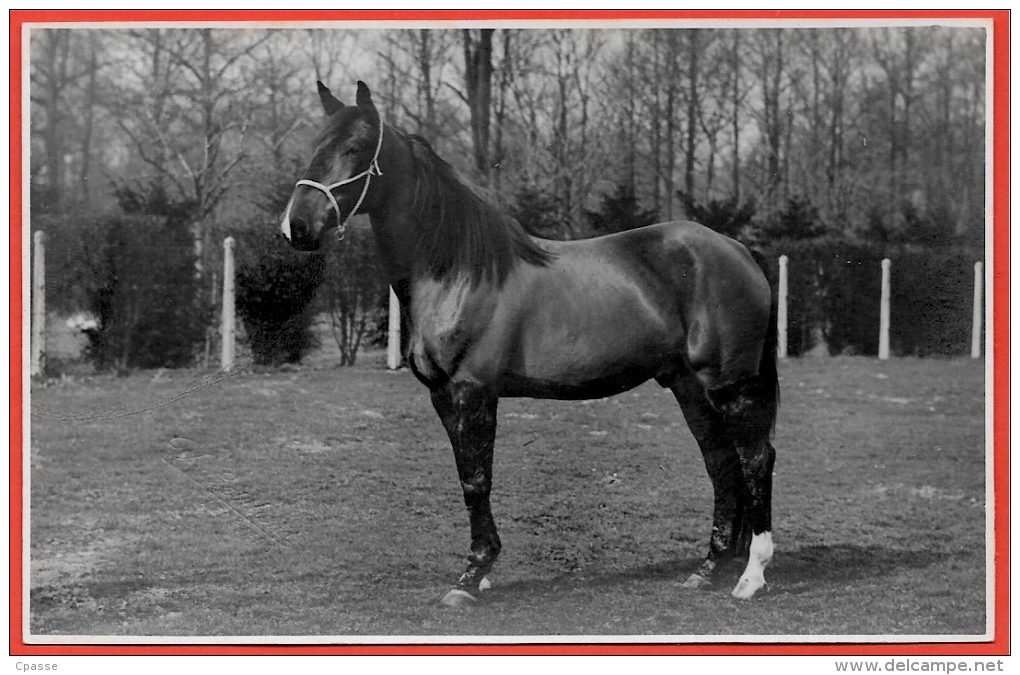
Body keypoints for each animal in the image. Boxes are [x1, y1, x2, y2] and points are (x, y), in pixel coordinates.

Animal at [279, 80, 779, 607]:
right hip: (689, 386)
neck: (458, 270)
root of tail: (738, 250)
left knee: (755, 459)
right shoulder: (442, 396)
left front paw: (471, 575)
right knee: (722, 463)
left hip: (729, 384)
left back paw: (751, 575)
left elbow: (477, 480)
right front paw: (480, 571)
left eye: (355, 148)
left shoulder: (472, 391)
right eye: (316, 145)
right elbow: (467, 477)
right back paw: (710, 568)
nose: (297, 227)